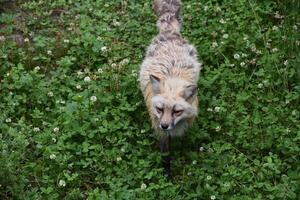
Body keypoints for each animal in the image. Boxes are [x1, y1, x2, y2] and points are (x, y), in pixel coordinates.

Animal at [139, 0, 202, 177]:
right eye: (159, 109)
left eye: (177, 111)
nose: (165, 125)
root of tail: (170, 33)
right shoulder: (159, 130)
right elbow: (166, 156)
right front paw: (167, 175)